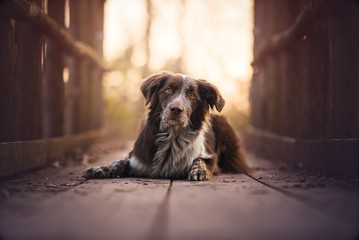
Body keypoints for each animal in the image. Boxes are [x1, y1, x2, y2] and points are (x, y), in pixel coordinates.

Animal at [84, 72, 252, 181]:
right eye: (168, 90)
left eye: (192, 95)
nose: (176, 109)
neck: (172, 138)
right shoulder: (137, 158)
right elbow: (120, 162)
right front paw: (101, 168)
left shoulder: (210, 156)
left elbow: (201, 160)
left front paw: (199, 170)